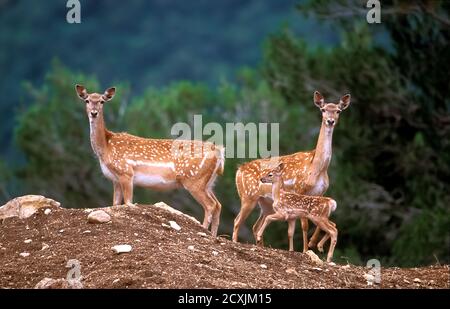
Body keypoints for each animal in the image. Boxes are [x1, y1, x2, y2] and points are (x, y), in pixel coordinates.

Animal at [76, 84, 229, 236]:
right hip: (208, 182)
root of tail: (219, 151)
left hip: (194, 180)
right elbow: (115, 204)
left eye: (102, 101)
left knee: (210, 205)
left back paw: (203, 231)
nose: (94, 113)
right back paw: (213, 235)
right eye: (87, 100)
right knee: (218, 204)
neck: (106, 147)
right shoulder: (115, 179)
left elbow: (128, 202)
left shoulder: (126, 172)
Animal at [234, 90, 350, 251]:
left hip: (265, 203)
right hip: (248, 196)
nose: (330, 121)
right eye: (323, 109)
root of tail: (239, 170)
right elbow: (305, 224)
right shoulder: (299, 189)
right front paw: (306, 249)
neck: (316, 168)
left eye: (338, 110)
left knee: (255, 226)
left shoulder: (320, 193)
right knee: (237, 221)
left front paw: (315, 244)